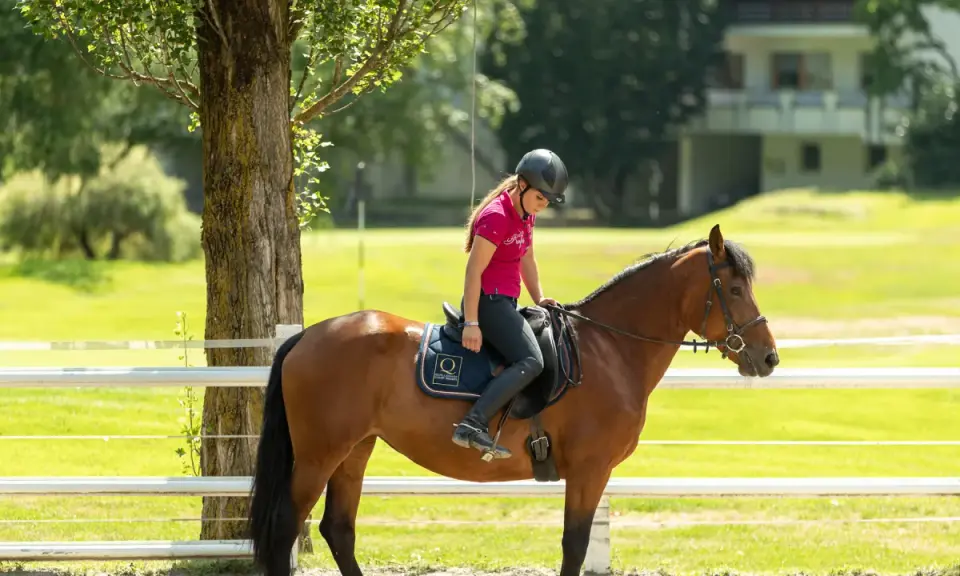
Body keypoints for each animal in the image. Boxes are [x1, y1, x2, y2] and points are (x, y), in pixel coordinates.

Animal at [246, 223, 779, 576]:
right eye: (734, 289)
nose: (769, 356)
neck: (608, 349)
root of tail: (309, 335)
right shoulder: (589, 471)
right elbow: (574, 545)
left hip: (355, 450)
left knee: (338, 529)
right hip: (319, 455)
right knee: (285, 528)